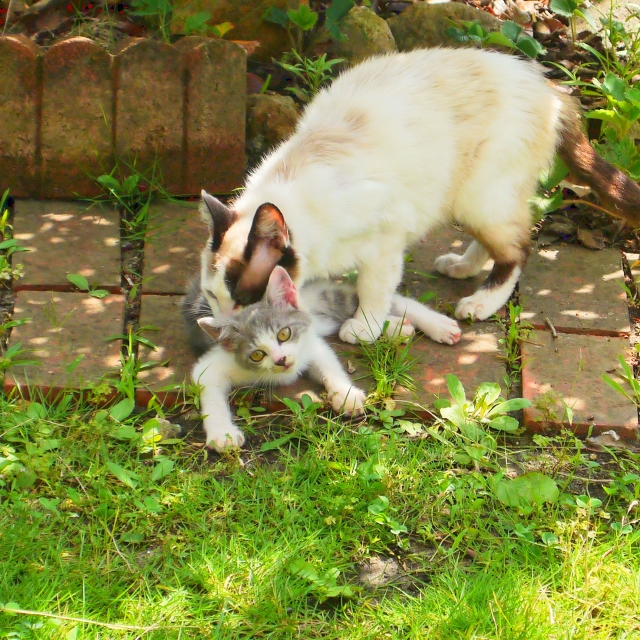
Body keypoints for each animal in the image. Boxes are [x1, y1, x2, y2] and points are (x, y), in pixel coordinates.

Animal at [200, 47, 640, 342]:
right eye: (212, 296)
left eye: (243, 298)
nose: (223, 328)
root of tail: (547, 86)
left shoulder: (384, 243)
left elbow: (373, 290)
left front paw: (364, 328)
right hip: (467, 198)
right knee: (496, 241)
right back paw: (460, 267)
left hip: (479, 197)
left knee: (518, 250)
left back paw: (479, 303)